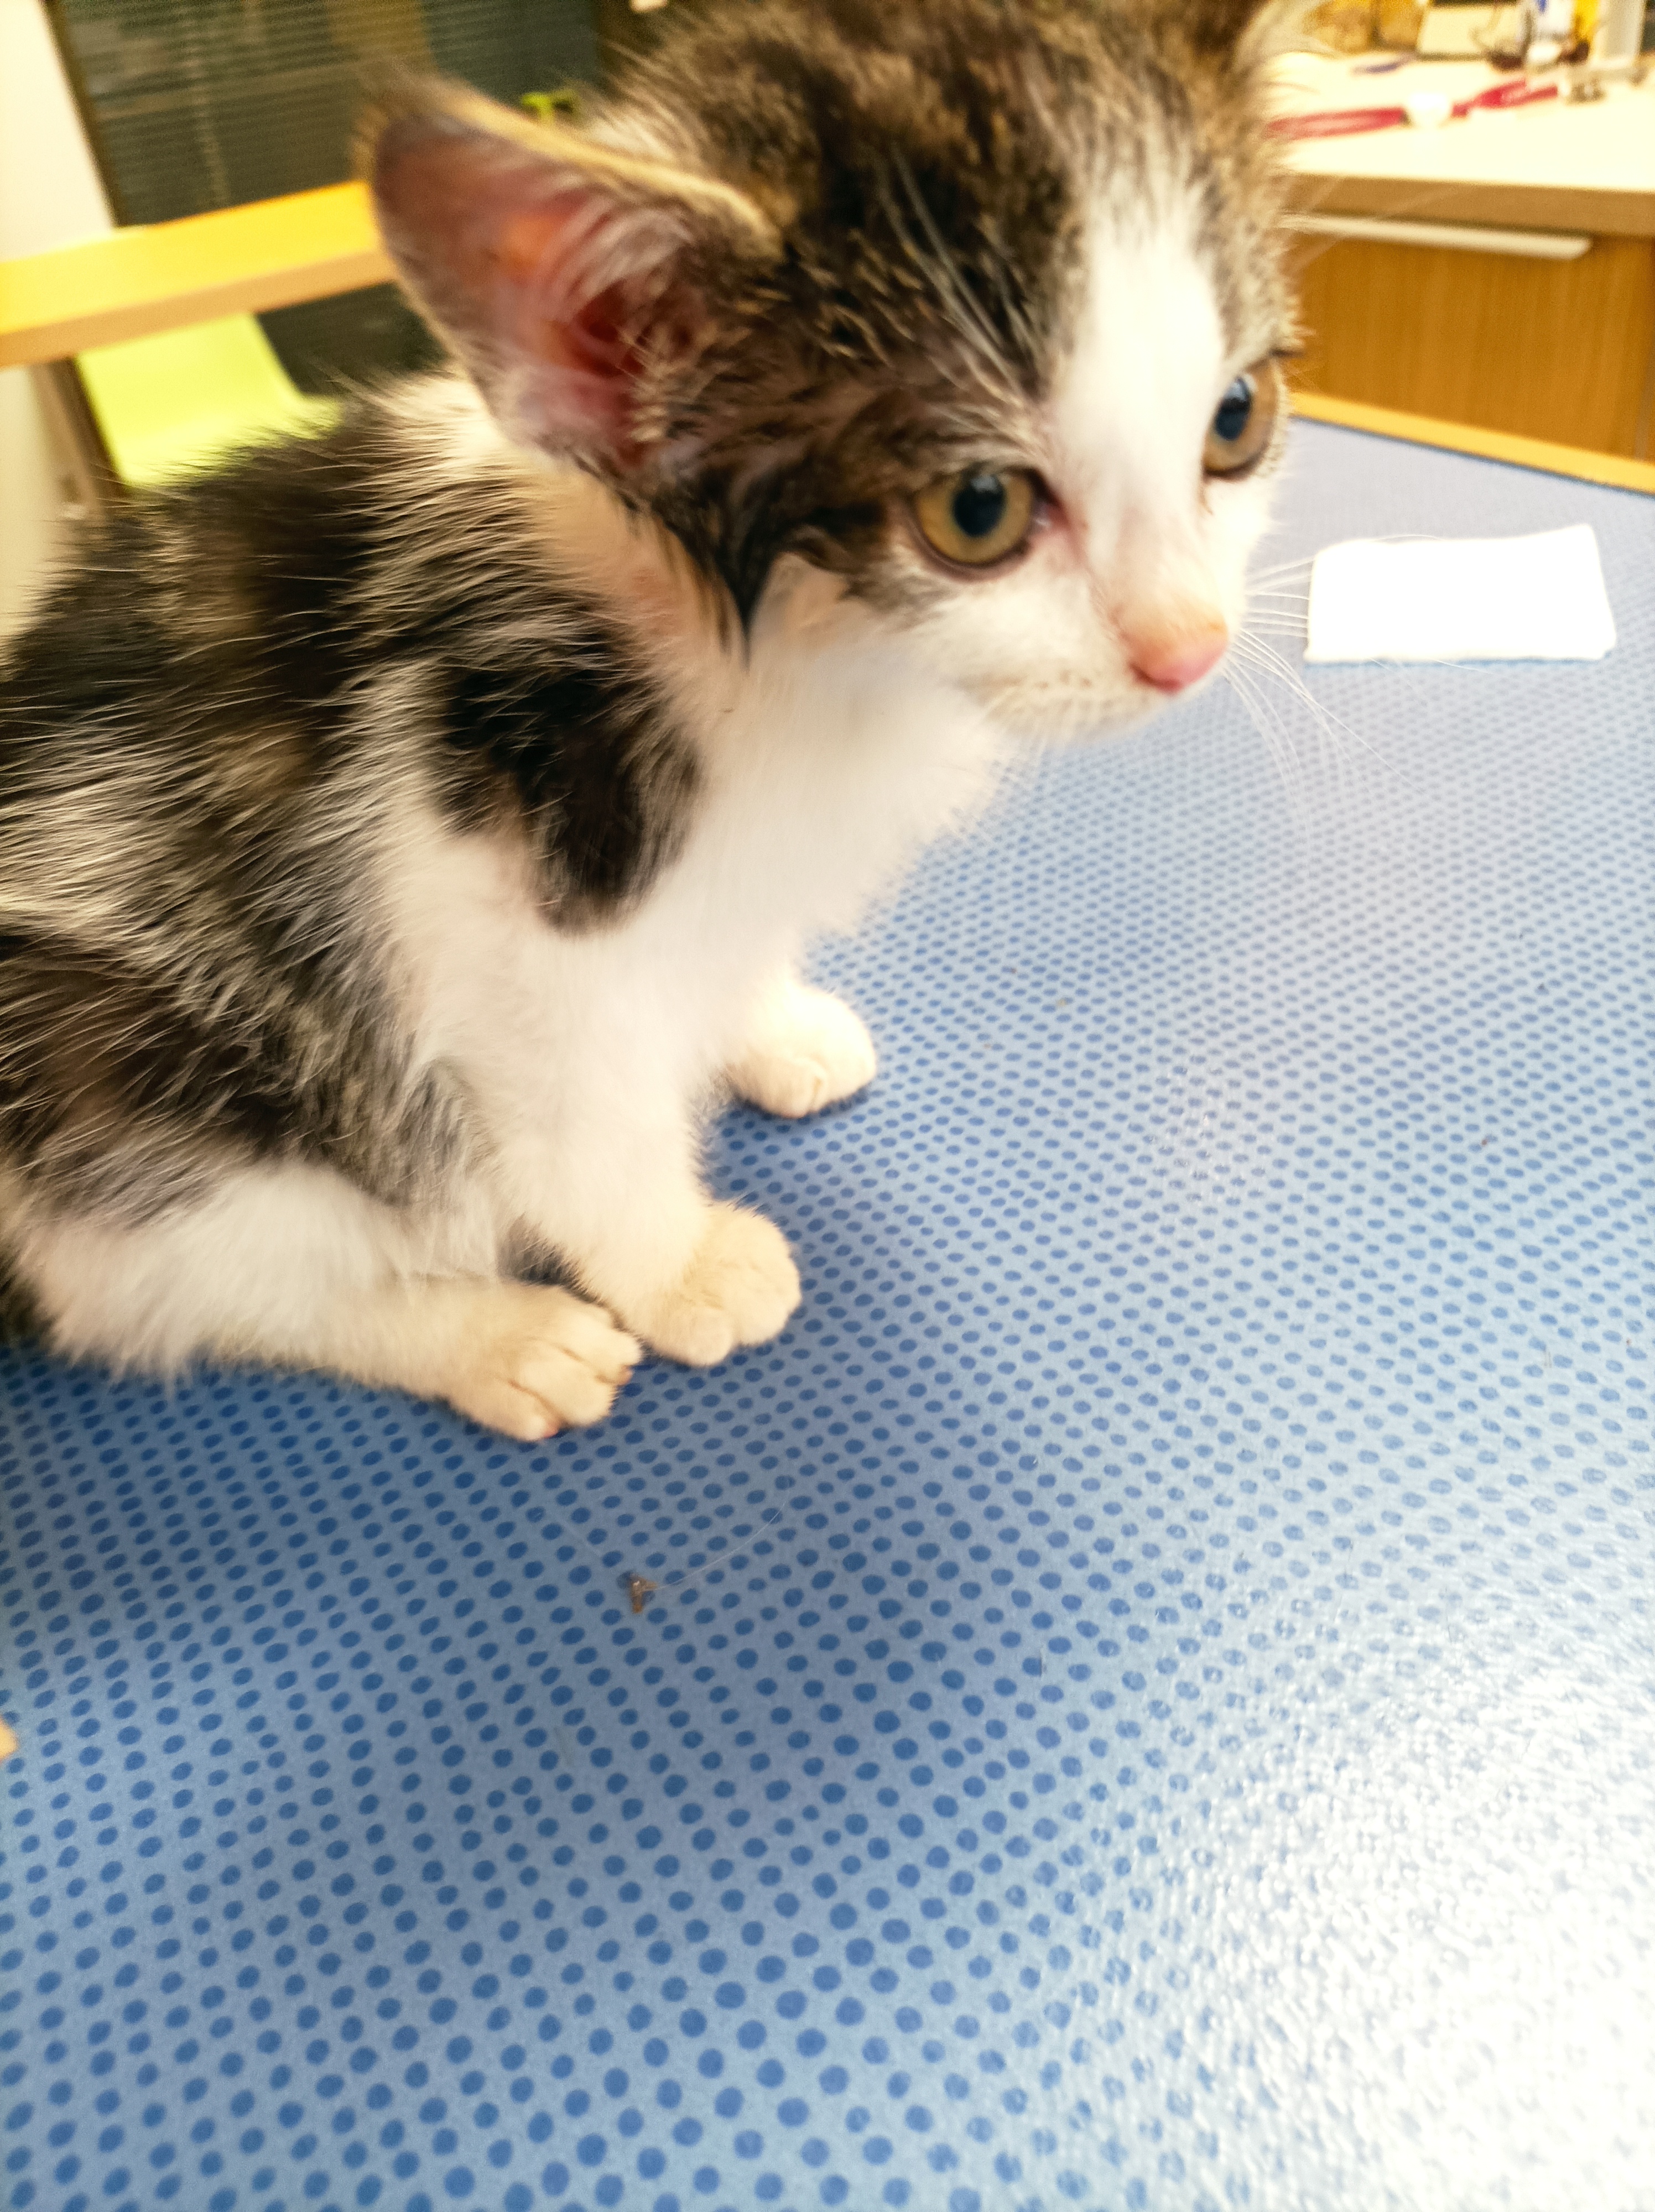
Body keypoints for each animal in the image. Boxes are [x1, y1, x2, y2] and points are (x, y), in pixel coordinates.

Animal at [0, 0, 1290, 1439]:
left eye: (1234, 419)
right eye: (977, 510)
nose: (1190, 647)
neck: (814, 664)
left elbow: (727, 943)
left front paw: (765, 1023)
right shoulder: (472, 900)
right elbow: (582, 1108)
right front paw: (673, 1265)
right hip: (121, 1074)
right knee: (170, 1282)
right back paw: (494, 1335)